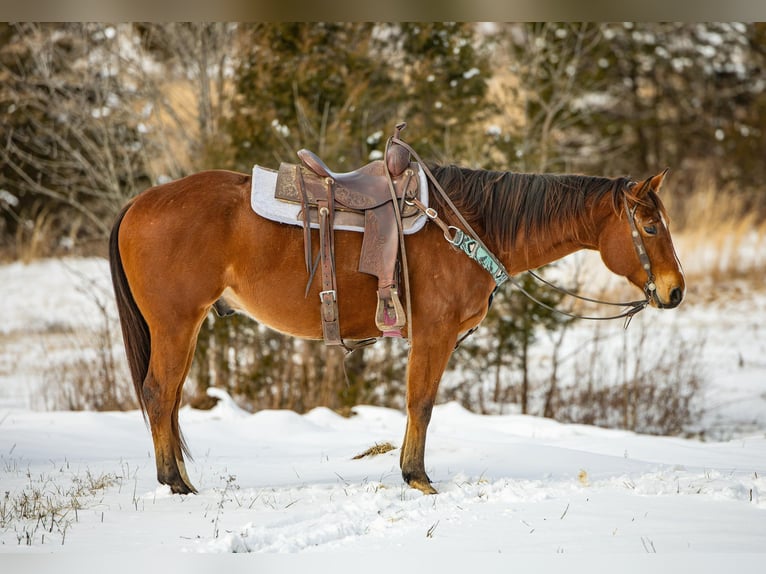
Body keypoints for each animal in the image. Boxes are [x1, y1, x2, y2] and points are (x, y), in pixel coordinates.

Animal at [106, 161, 684, 496]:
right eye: (650, 226)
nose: (676, 290)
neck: (468, 224)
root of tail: (139, 202)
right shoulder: (434, 335)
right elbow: (421, 403)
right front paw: (418, 478)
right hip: (177, 324)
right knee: (158, 394)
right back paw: (175, 484)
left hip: (184, 328)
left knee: (169, 399)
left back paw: (178, 478)